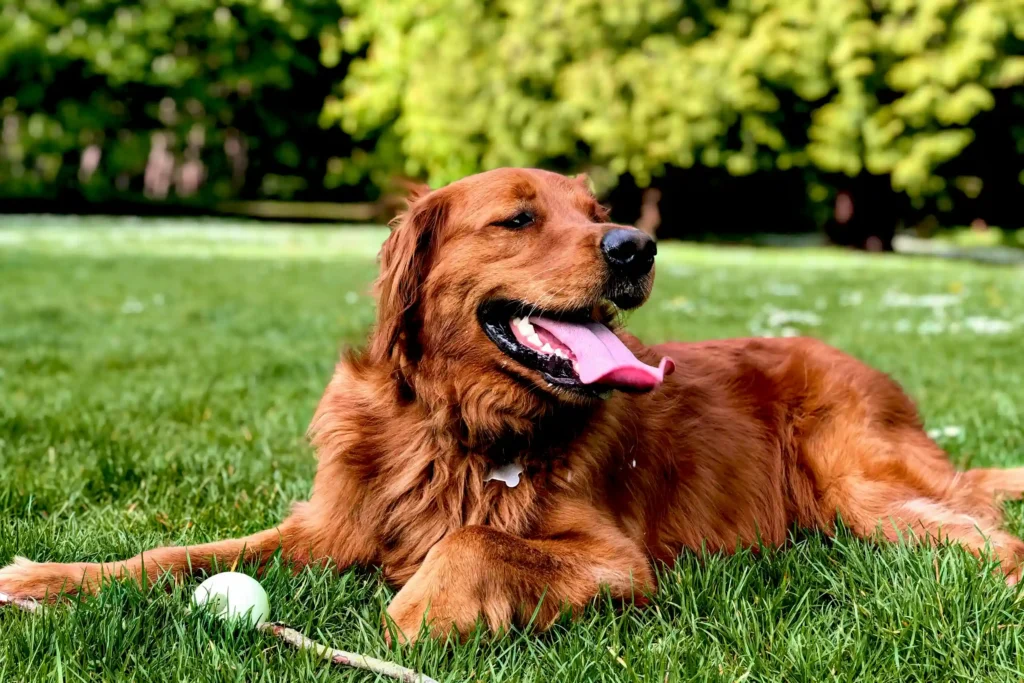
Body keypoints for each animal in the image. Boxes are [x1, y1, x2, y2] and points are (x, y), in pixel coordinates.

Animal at [2, 167, 1024, 643]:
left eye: (599, 210)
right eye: (519, 217)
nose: (636, 245)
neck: (454, 423)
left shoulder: (617, 560)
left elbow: (471, 538)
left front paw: (417, 611)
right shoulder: (327, 526)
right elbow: (173, 553)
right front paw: (47, 576)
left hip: (863, 489)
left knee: (989, 534)